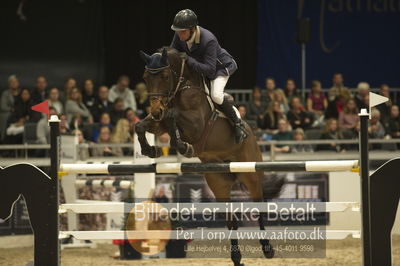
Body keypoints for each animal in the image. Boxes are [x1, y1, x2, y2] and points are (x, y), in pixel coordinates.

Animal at [138, 47, 284, 266]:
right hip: (219, 182)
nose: (155, 110)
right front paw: (150, 150)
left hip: (250, 174)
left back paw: (267, 248)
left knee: (259, 207)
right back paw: (236, 257)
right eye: (146, 78)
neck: (180, 89)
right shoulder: (159, 121)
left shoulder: (196, 124)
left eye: (165, 76)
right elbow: (141, 125)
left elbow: (173, 115)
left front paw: (182, 145)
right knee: (231, 221)